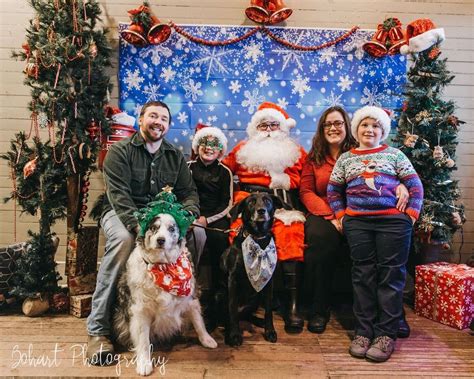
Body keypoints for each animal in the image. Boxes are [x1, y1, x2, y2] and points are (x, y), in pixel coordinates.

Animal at [113, 214, 217, 378]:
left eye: (171, 228)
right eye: (153, 227)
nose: (160, 240)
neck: (164, 267)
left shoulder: (191, 298)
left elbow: (198, 321)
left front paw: (207, 339)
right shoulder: (140, 309)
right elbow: (143, 340)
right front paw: (144, 364)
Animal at [221, 194, 288, 346]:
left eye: (267, 200)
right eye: (251, 202)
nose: (261, 211)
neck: (258, 239)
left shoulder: (269, 282)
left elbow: (268, 310)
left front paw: (270, 331)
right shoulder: (232, 280)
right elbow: (232, 309)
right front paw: (234, 335)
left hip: (256, 298)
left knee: (247, 315)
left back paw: (259, 321)